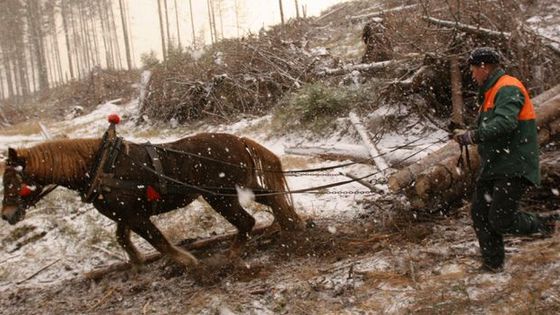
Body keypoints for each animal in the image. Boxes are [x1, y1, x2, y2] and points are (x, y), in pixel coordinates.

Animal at [2, 132, 304, 270]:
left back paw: (233, 255)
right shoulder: (124, 215)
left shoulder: (136, 216)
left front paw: (186, 260)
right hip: (240, 188)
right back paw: (288, 225)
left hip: (221, 197)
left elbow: (158, 241)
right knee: (273, 200)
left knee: (247, 221)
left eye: (12, 181)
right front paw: (137, 264)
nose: (6, 215)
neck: (101, 166)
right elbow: (123, 239)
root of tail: (239, 140)